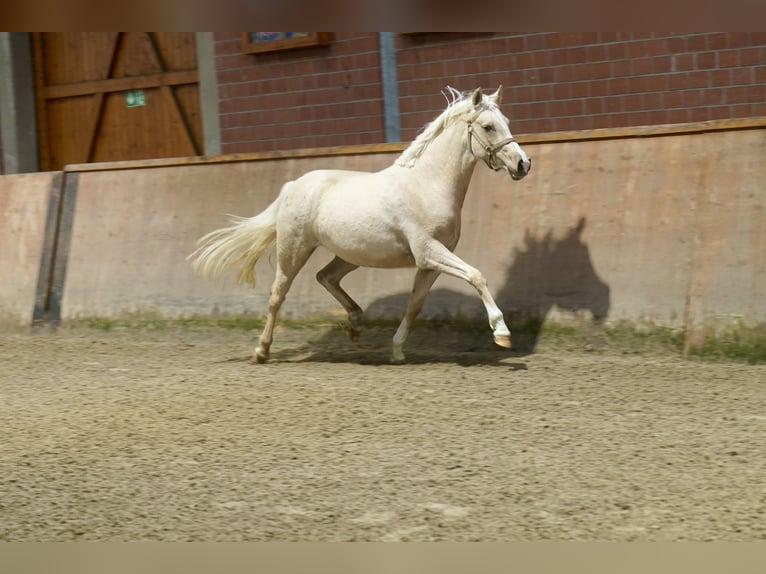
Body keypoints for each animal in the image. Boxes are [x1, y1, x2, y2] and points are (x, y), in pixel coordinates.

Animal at [188, 86, 532, 363]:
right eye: (488, 126)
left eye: (507, 122)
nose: (523, 164)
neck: (427, 185)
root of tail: (294, 185)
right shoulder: (428, 252)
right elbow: (476, 276)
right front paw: (502, 333)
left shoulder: (430, 263)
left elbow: (415, 304)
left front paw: (397, 351)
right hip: (294, 251)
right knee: (277, 295)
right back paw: (261, 351)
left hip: (350, 255)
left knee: (325, 277)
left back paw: (354, 324)